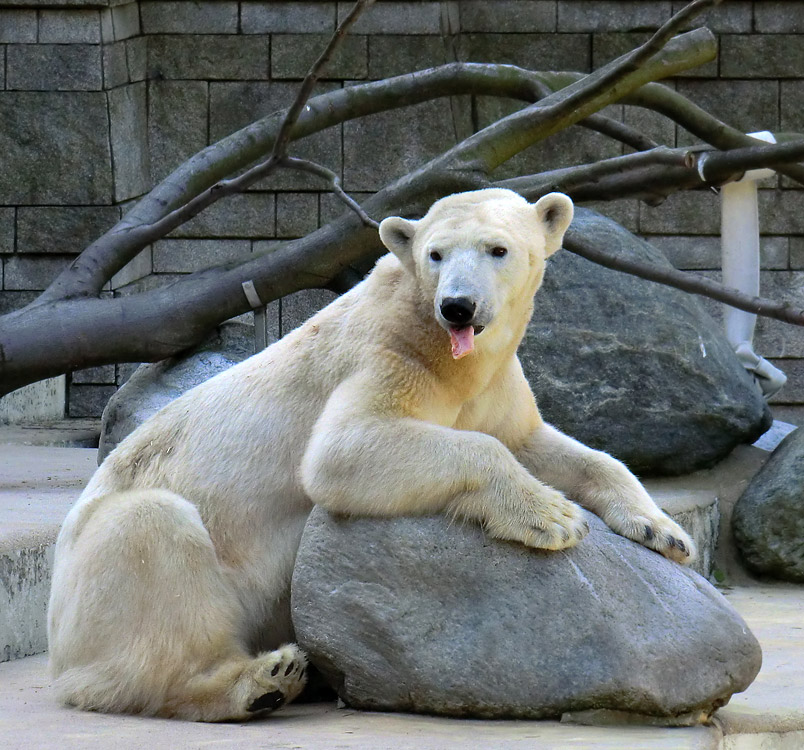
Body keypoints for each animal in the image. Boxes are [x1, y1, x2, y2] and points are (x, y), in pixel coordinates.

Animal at [47, 188, 696, 724]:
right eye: (436, 254)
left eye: (498, 249)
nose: (458, 306)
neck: (444, 348)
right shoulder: (385, 357)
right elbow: (342, 452)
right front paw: (552, 517)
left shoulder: (493, 387)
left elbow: (539, 442)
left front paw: (664, 531)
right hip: (101, 576)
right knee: (152, 540)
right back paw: (260, 681)